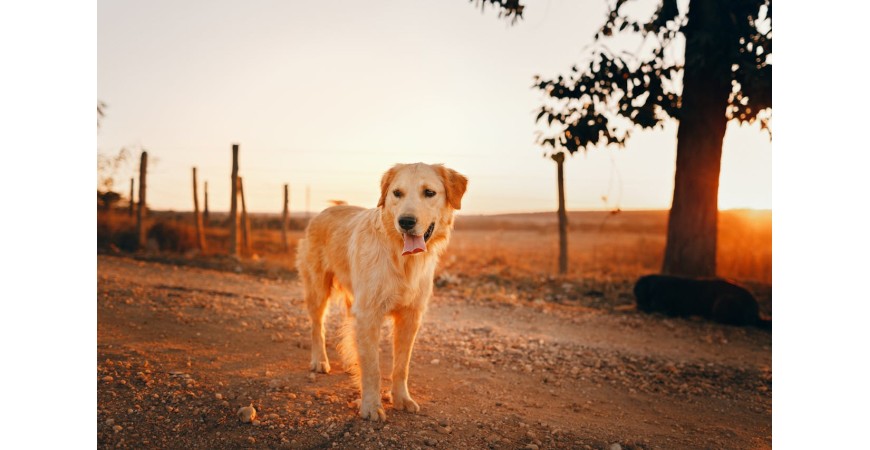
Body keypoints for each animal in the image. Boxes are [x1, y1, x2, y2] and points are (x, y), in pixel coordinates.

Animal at [294, 163, 470, 422]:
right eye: (397, 193)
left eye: (429, 192)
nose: (405, 221)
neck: (402, 260)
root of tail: (327, 209)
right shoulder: (369, 314)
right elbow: (372, 367)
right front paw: (370, 405)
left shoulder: (410, 317)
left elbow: (401, 366)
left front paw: (401, 399)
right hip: (318, 289)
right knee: (318, 327)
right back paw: (320, 361)